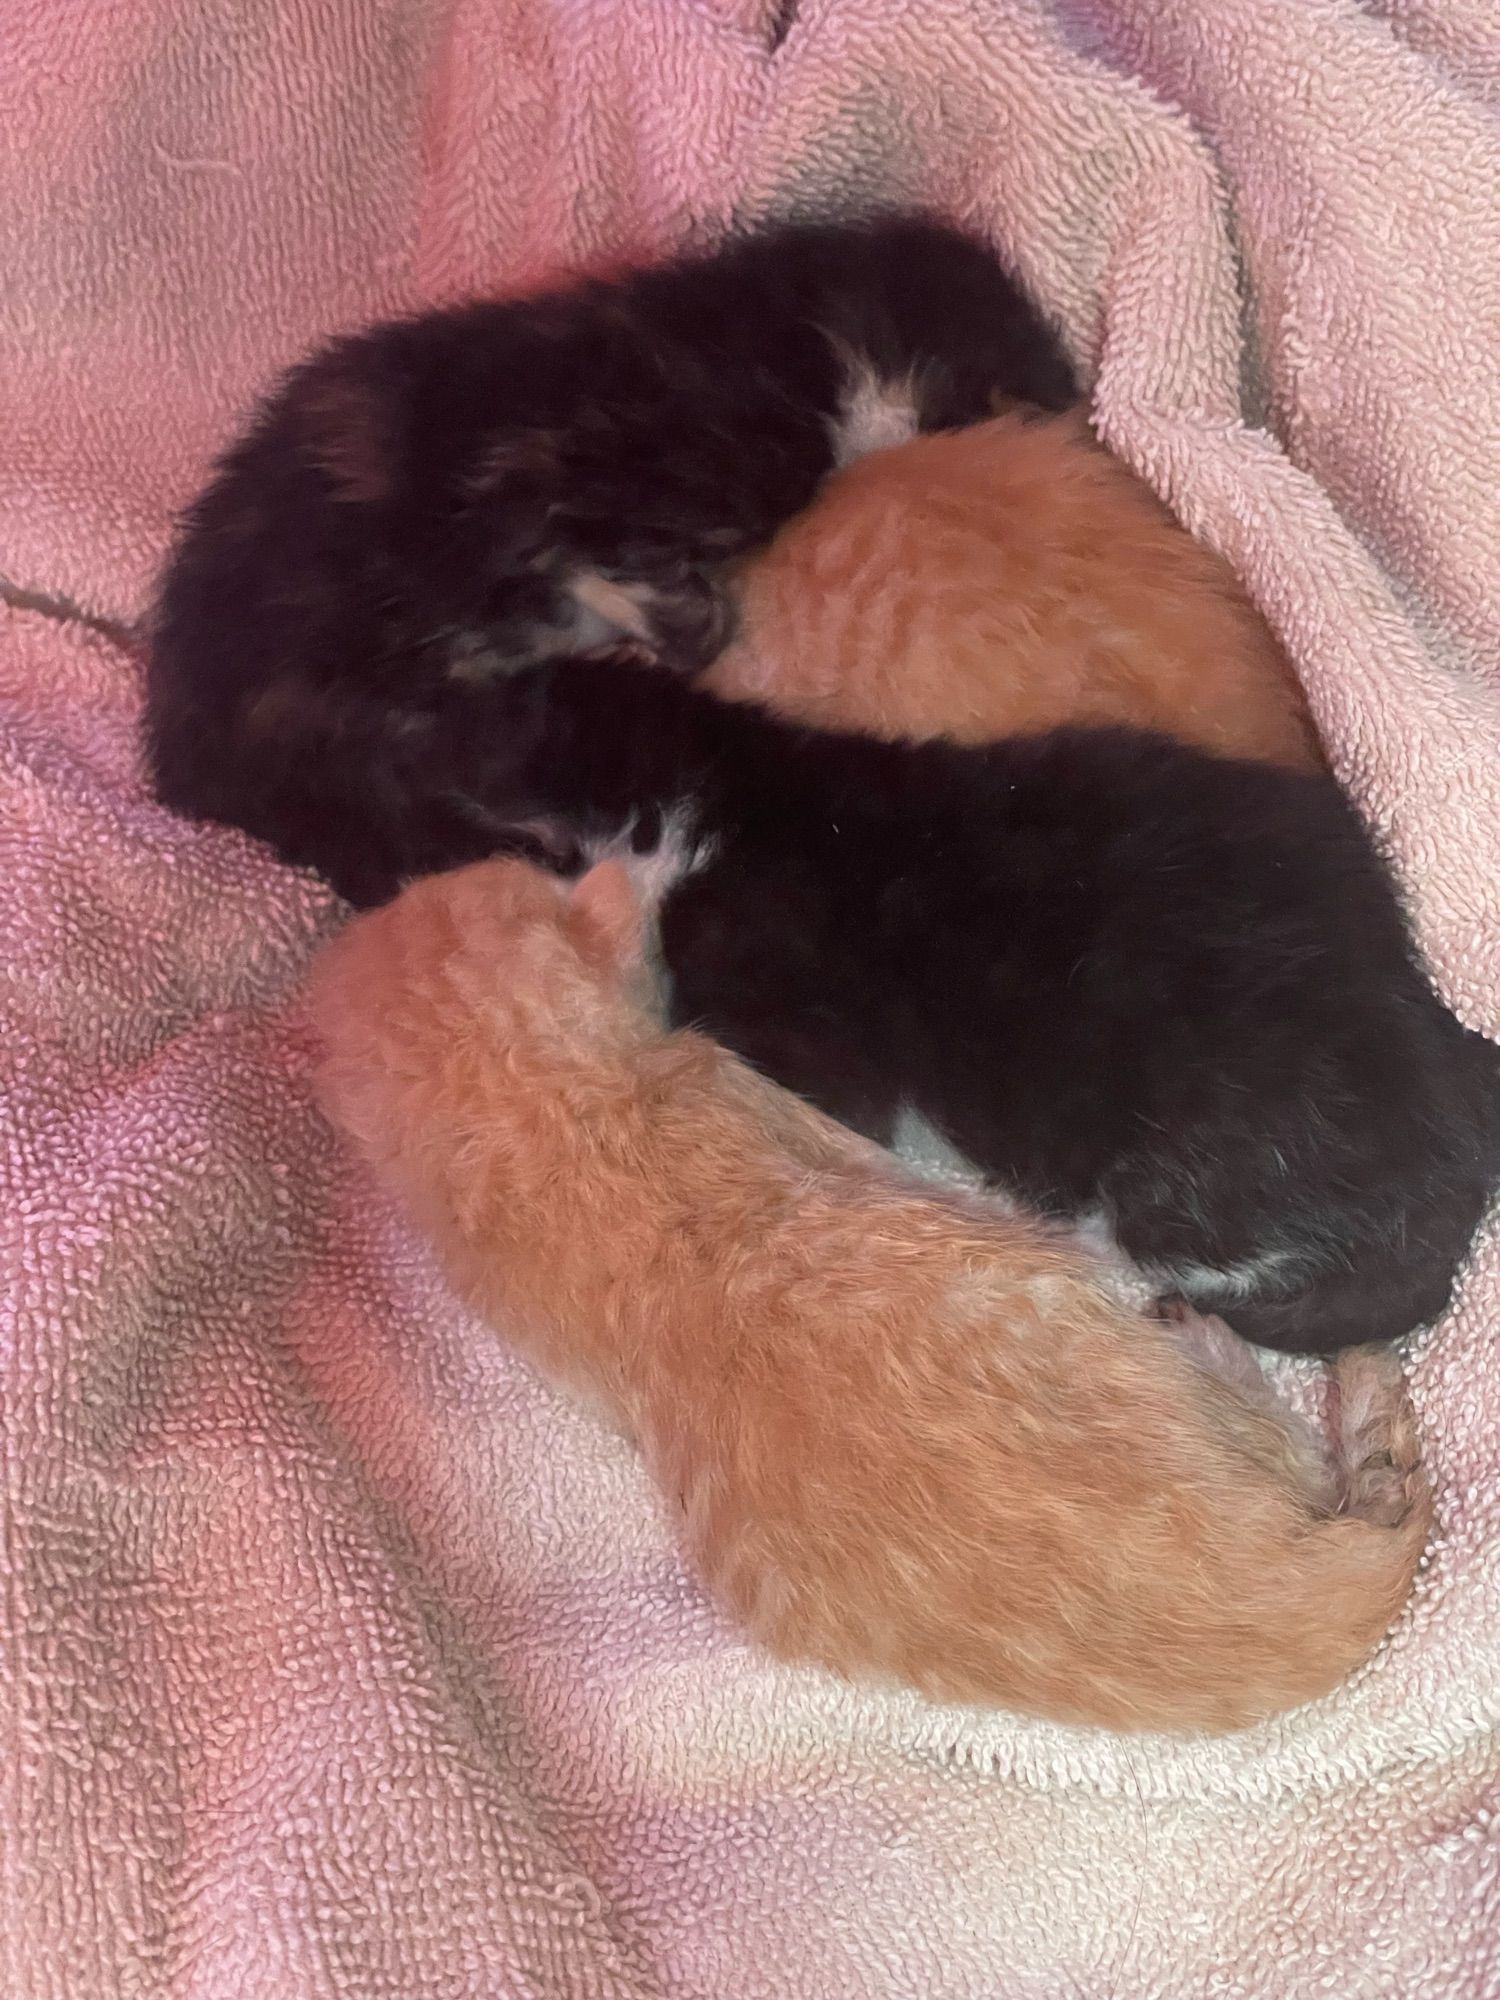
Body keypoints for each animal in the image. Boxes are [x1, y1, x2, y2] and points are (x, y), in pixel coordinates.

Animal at [144, 205, 1080, 908]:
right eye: (1003, 387)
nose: (1070, 416)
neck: (804, 329)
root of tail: (189, 760)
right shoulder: (596, 483)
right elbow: (655, 592)